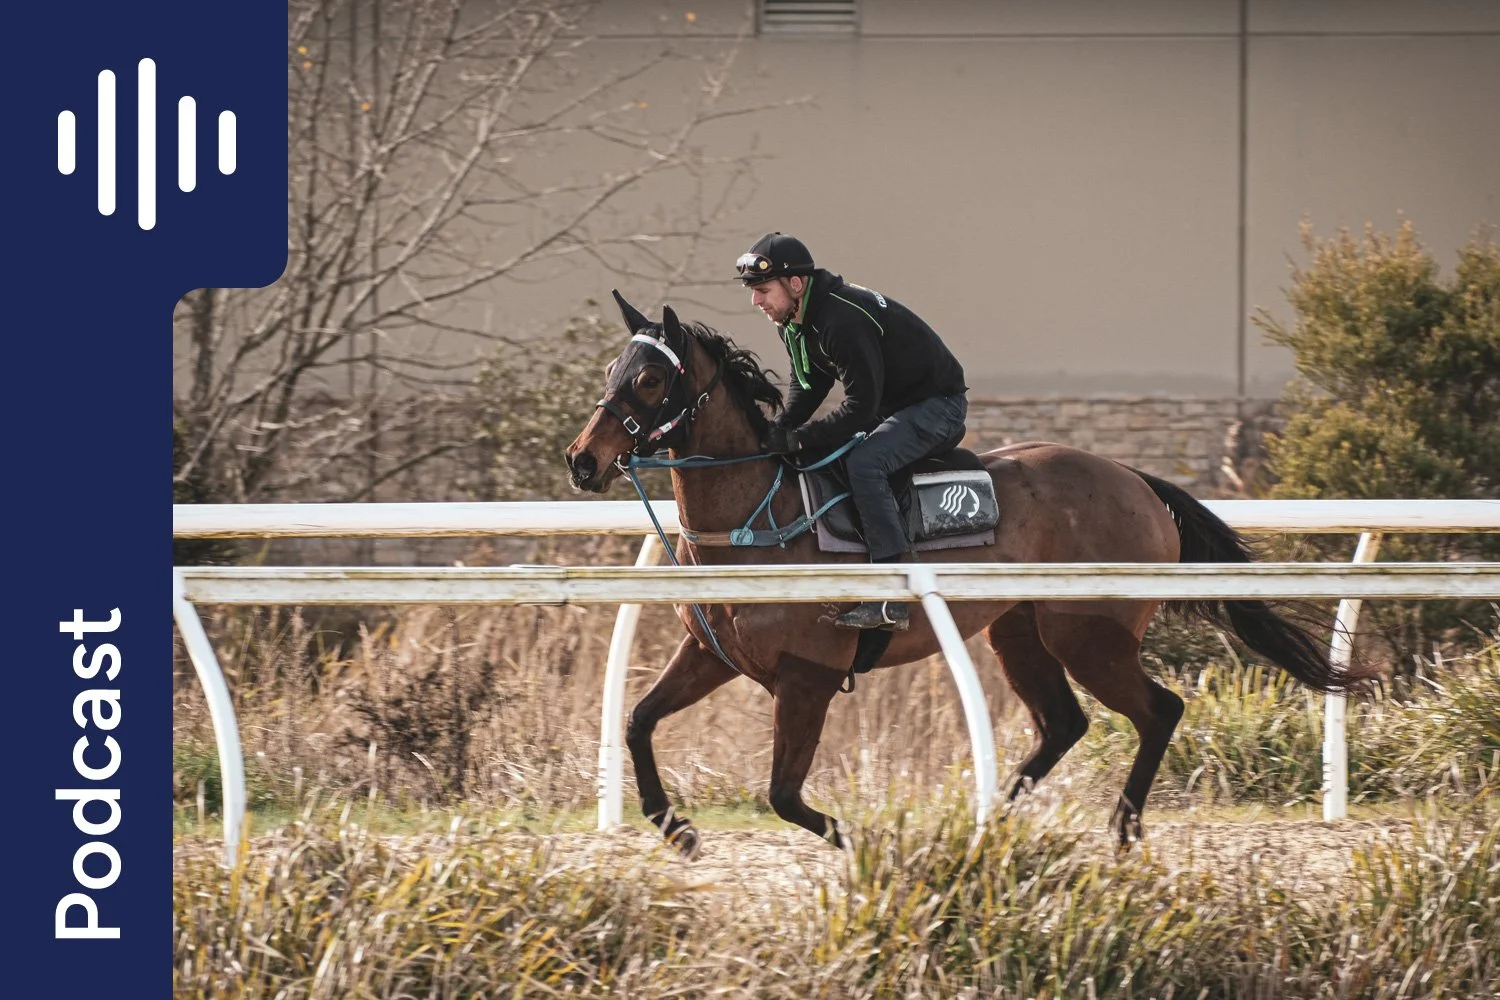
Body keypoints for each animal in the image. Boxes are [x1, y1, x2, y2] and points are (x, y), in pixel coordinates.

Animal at [564, 292, 1365, 857]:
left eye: (650, 377)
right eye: (609, 371)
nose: (582, 460)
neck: (756, 519)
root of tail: (1135, 480)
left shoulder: (808, 675)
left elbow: (784, 795)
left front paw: (868, 843)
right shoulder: (711, 655)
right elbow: (636, 721)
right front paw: (676, 828)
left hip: (1089, 634)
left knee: (1158, 710)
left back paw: (1123, 829)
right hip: (1022, 632)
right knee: (1064, 723)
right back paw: (993, 828)